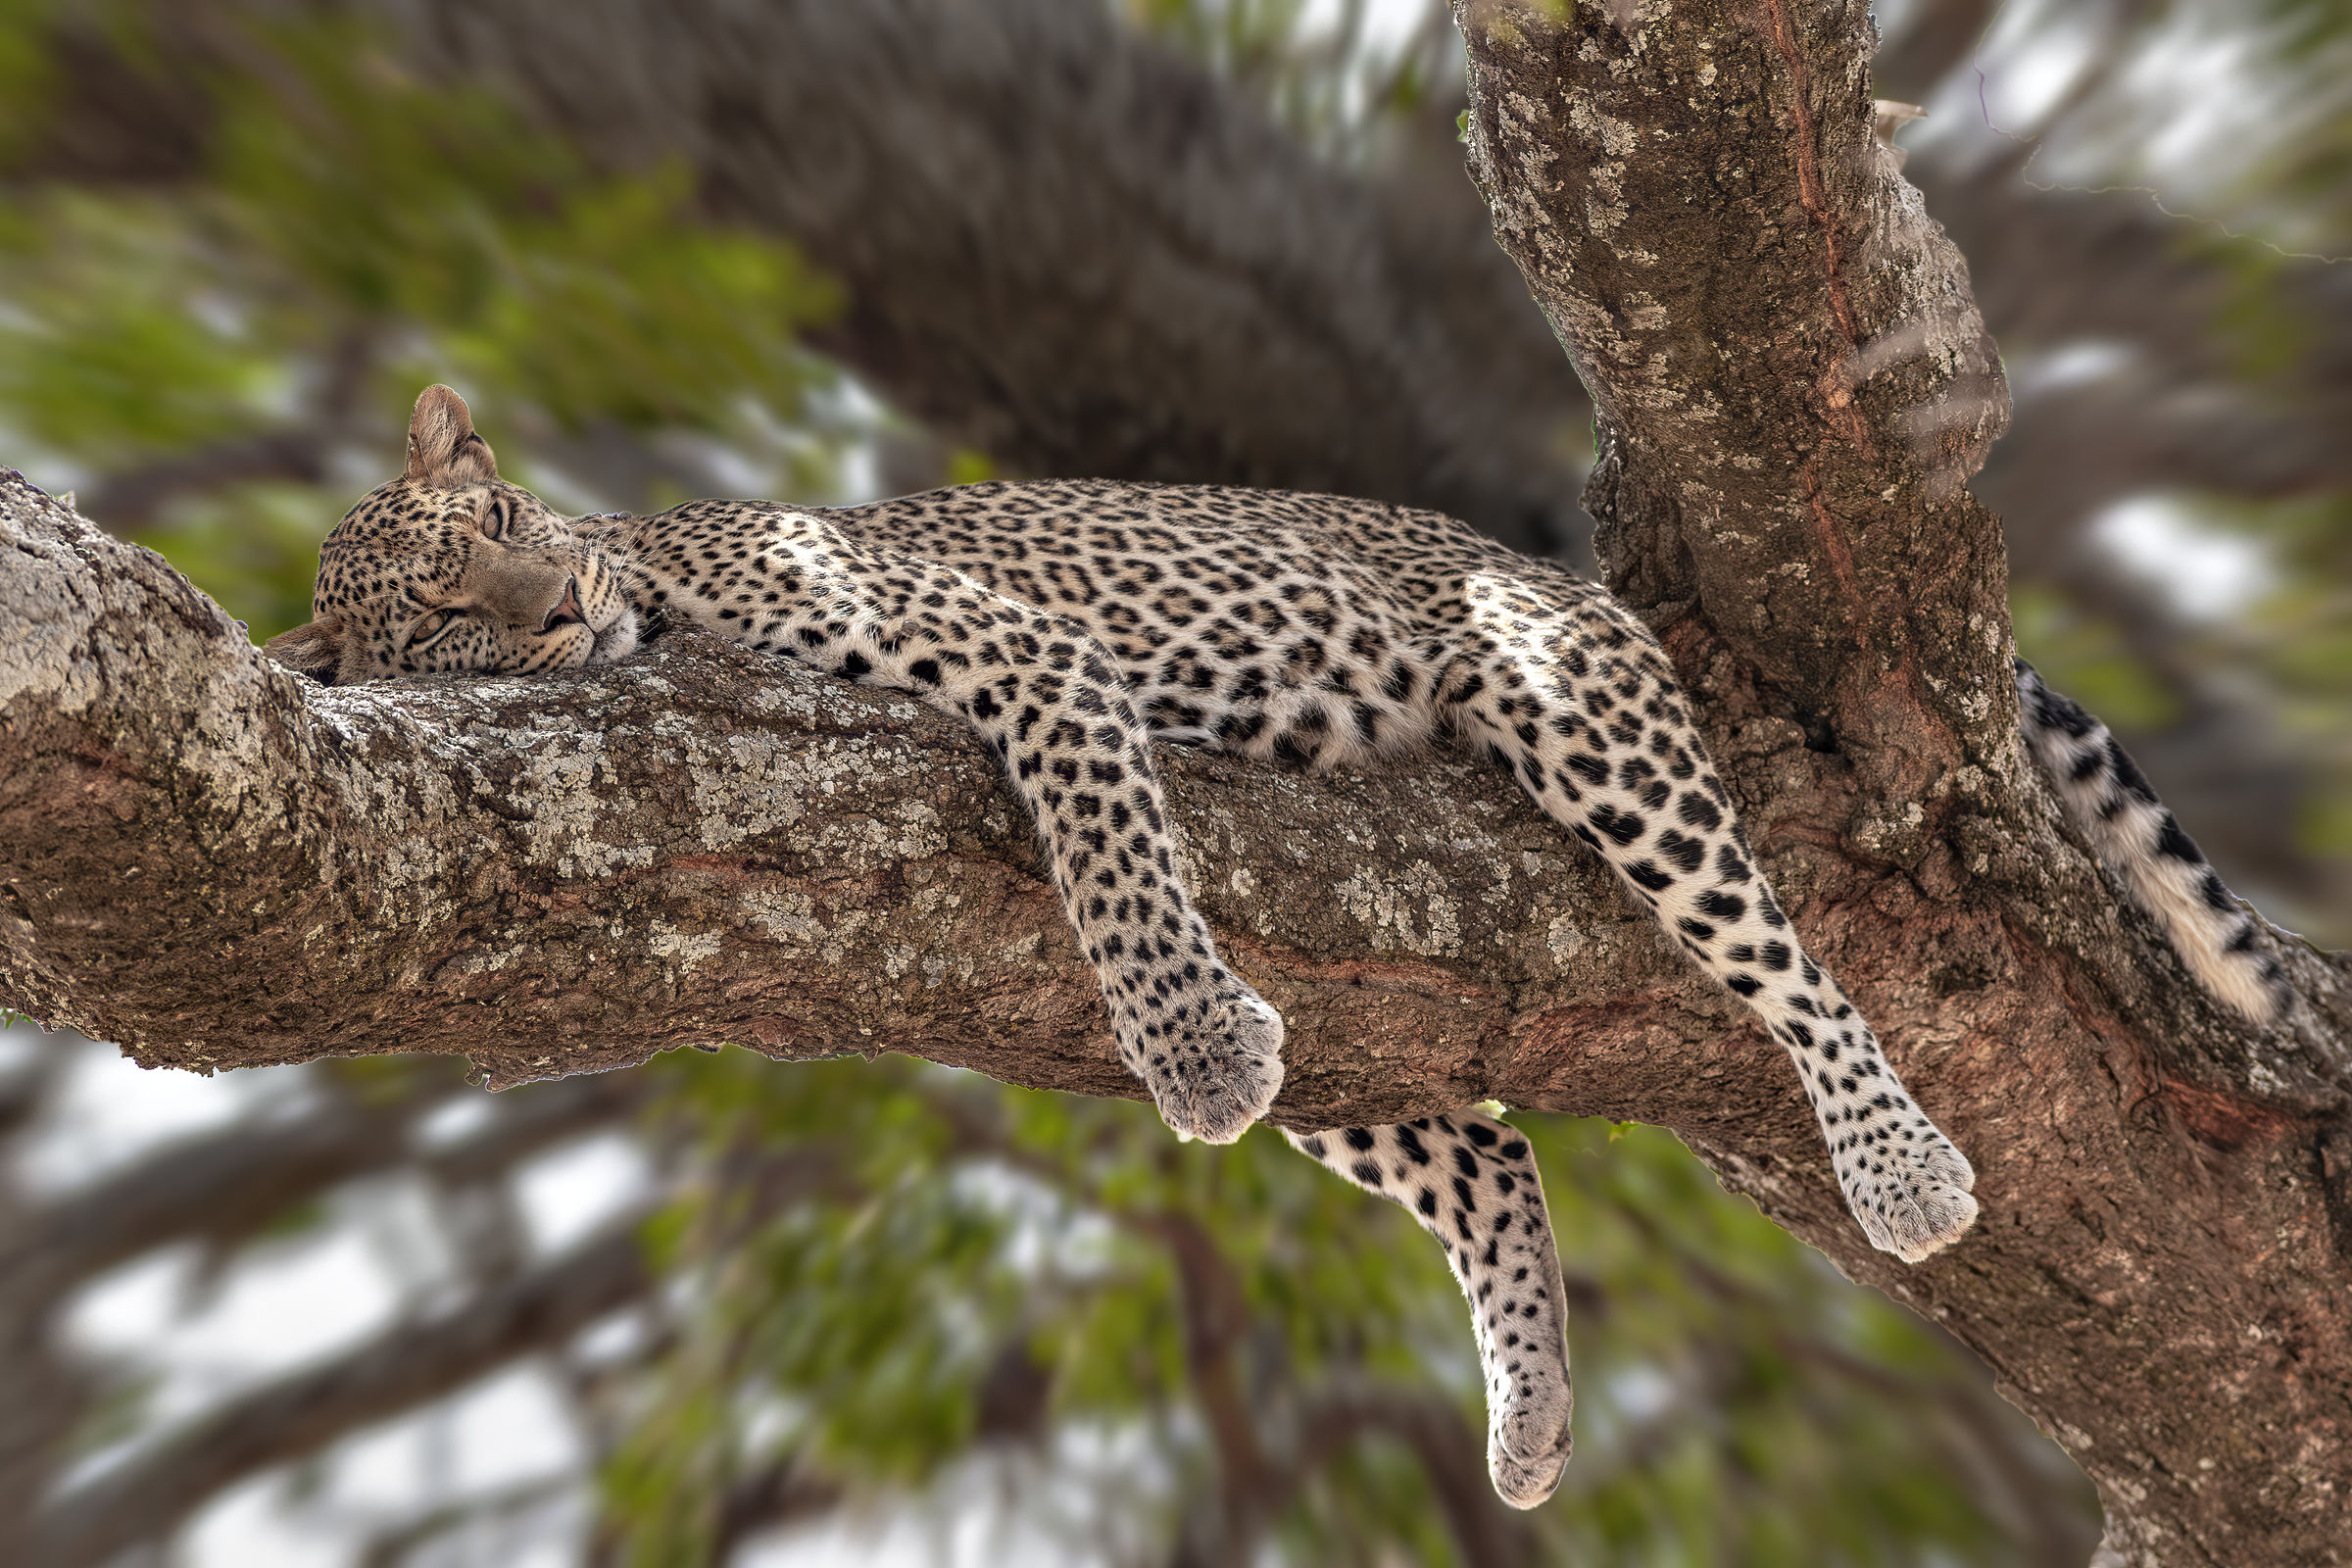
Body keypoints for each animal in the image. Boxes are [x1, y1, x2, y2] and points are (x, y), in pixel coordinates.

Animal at [267, 386, 2288, 1509]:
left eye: (502, 522)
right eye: (441, 618)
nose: (553, 610)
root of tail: (1559, 568)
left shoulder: (1023, 657)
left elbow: (1103, 838)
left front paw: (1182, 1042)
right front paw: (1197, 1042)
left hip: (1575, 708)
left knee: (1777, 952)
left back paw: (1900, 1164)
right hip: (1375, 1026)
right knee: (1487, 1157)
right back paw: (1532, 1410)